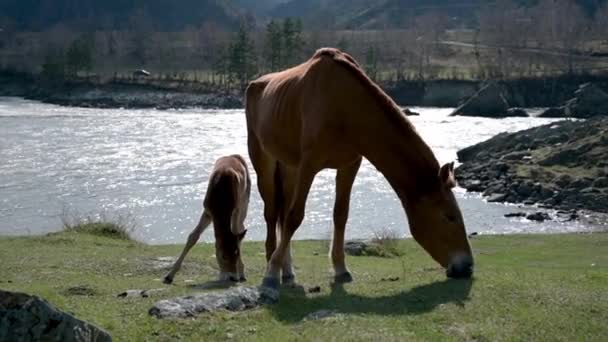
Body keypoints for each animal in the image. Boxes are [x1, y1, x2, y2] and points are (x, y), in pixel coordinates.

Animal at [163, 155, 251, 284]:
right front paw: (168, 276)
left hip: (245, 200)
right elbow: (193, 236)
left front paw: (239, 273)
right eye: (223, 256)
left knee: (241, 226)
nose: (233, 277)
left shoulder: (236, 209)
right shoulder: (208, 210)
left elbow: (236, 235)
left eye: (237, 253)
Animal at [245, 47, 472, 288]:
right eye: (450, 217)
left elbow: (340, 214)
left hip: (290, 167)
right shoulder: (309, 165)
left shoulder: (349, 165)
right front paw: (271, 274)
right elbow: (295, 216)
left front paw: (341, 269)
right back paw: (273, 266)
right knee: (272, 214)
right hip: (265, 164)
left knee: (281, 213)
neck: (344, 107)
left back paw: (287, 271)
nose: (467, 266)